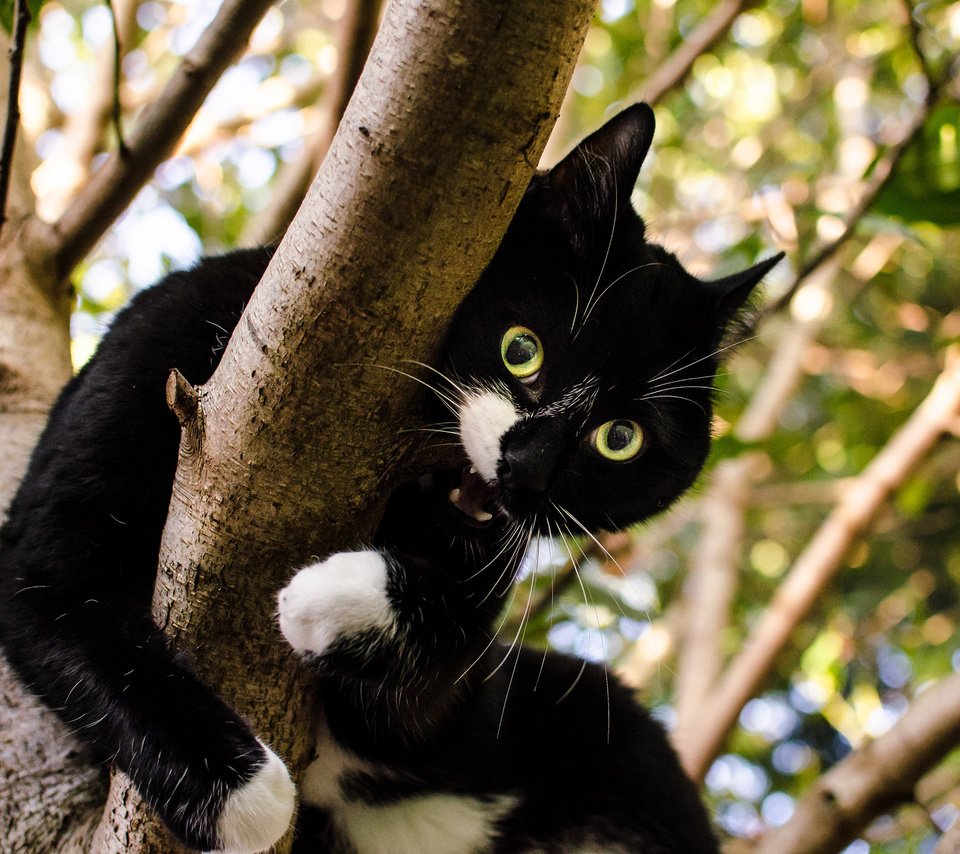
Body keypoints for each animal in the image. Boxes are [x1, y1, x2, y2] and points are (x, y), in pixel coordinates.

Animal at [0, 102, 780, 854]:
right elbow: (65, 602)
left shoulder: (464, 709)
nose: (527, 469)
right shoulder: (154, 354)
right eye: (521, 350)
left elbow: (453, 648)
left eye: (621, 439)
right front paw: (245, 796)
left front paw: (326, 597)